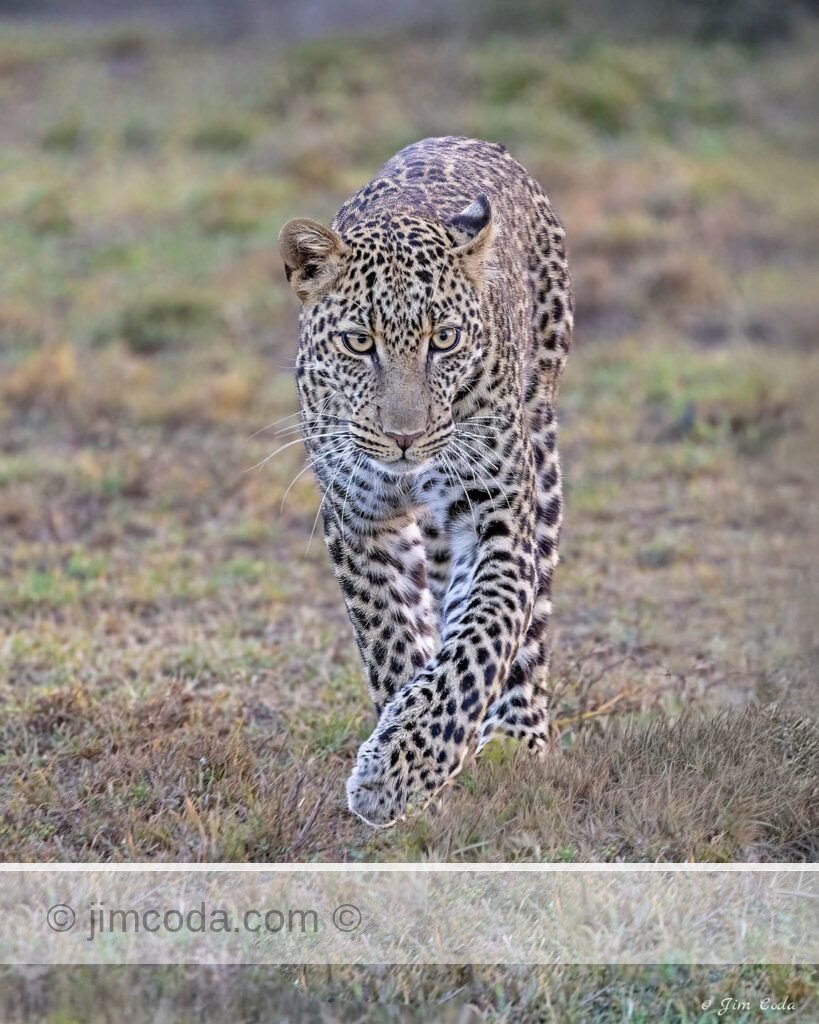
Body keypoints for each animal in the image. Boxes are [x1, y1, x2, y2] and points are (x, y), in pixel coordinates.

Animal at [278, 136, 573, 827]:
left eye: (445, 339)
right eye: (359, 343)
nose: (405, 437)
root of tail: (461, 138)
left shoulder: (496, 520)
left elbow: (480, 641)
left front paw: (396, 773)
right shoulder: (358, 521)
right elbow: (391, 637)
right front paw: (411, 767)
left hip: (540, 445)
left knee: (529, 621)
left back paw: (518, 737)